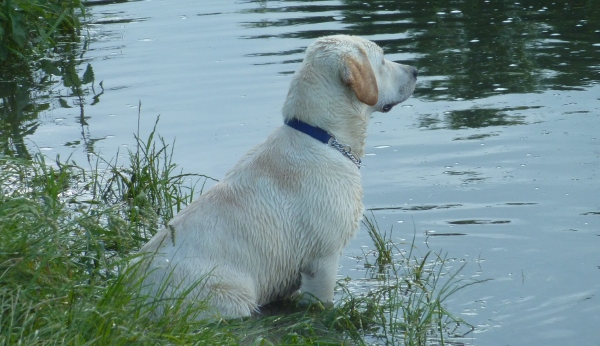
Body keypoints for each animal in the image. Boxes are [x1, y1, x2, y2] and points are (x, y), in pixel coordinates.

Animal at [132, 35, 418, 318]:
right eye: (382, 61)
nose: (415, 70)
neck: (322, 136)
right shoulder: (323, 259)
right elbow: (323, 304)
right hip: (232, 297)